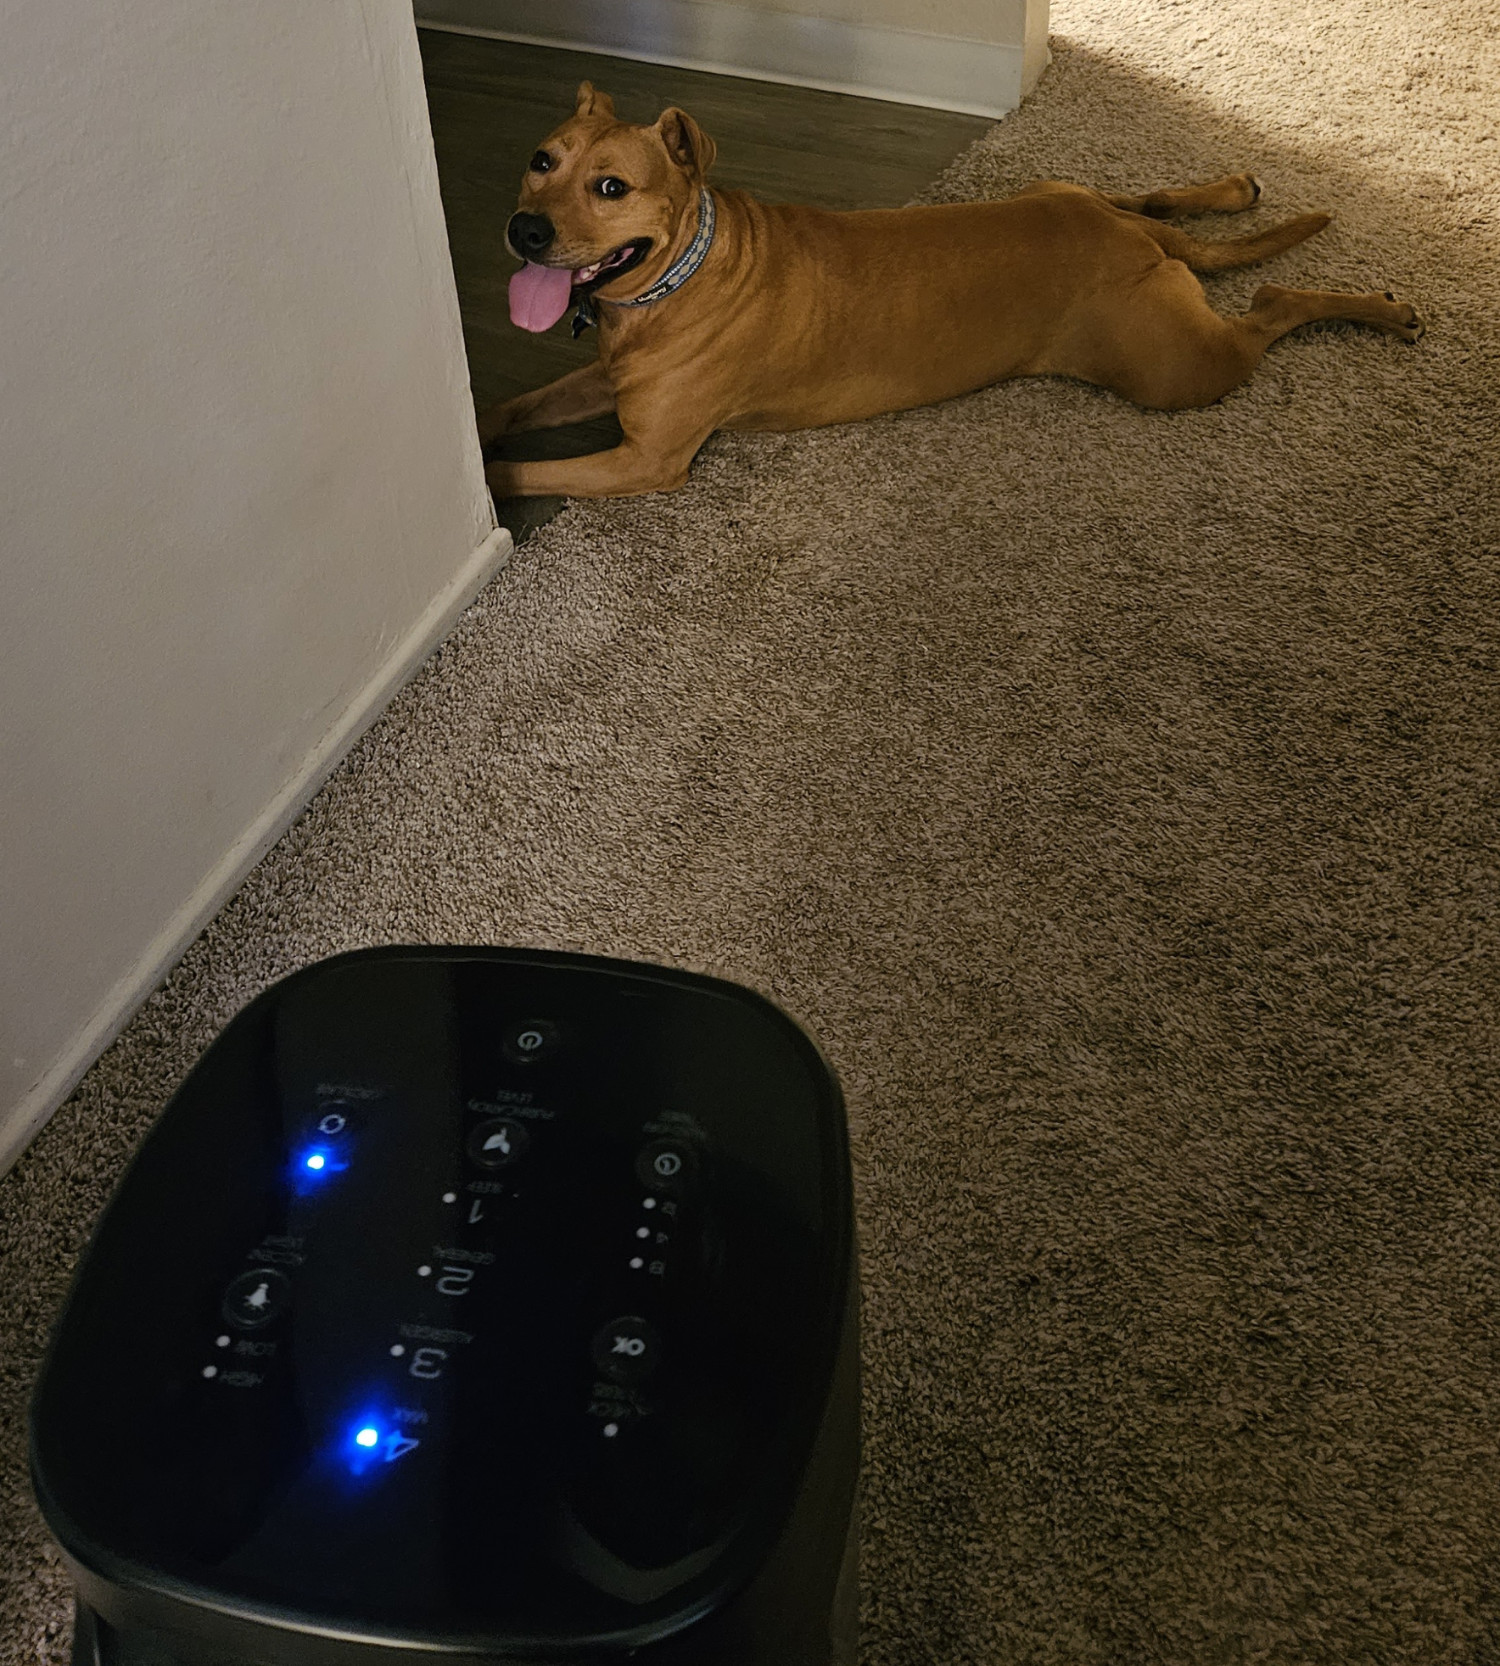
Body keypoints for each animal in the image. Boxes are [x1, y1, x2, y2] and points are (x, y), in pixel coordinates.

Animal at [476, 82, 1420, 499]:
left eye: (612, 188)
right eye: (541, 160)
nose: (525, 231)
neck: (679, 273)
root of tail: (1132, 243)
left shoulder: (646, 460)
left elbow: (524, 472)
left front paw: (480, 488)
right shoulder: (601, 378)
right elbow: (515, 409)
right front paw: (474, 424)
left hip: (1178, 368)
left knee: (1272, 306)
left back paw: (1380, 310)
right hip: (1067, 192)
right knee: (1151, 198)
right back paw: (1226, 190)